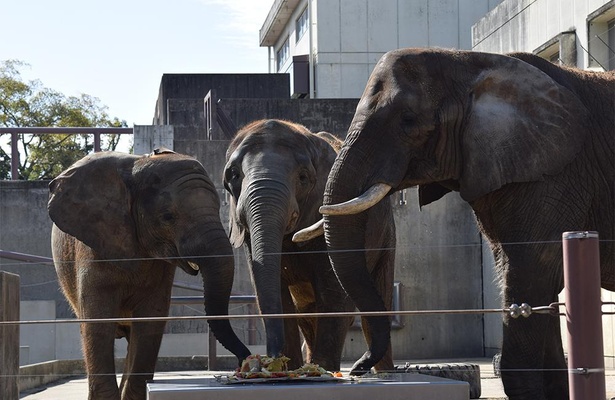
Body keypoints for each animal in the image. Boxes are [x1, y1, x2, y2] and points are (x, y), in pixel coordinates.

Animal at [224, 118, 398, 372]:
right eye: (234, 175)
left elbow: (333, 291)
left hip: (386, 236)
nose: (266, 358)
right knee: (306, 314)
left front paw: (321, 369)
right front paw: (289, 367)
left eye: (303, 178)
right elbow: (273, 289)